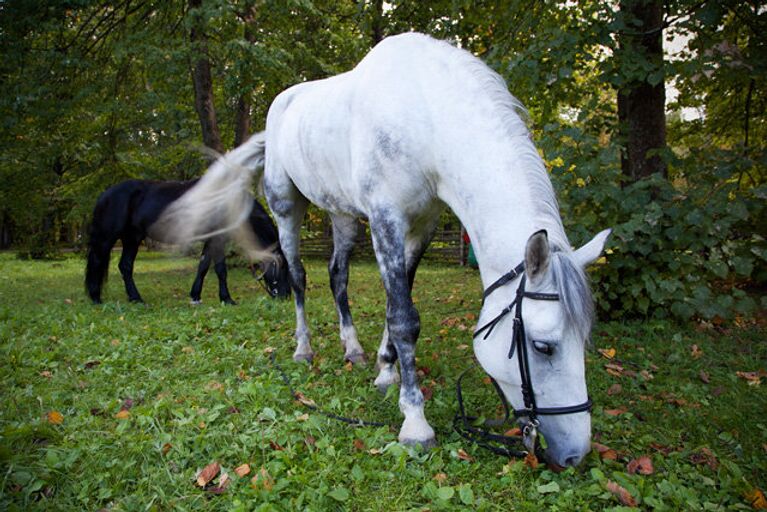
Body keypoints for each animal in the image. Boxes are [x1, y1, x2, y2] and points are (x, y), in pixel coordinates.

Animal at [83, 179, 288, 304]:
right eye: (281, 265)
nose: (285, 296)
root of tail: (105, 195)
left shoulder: (211, 240)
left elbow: (203, 265)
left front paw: (195, 295)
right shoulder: (218, 239)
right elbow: (220, 269)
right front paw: (227, 299)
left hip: (132, 238)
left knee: (125, 266)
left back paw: (136, 298)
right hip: (108, 237)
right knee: (97, 261)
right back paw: (96, 297)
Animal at [164, 33, 612, 468]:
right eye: (543, 346)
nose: (574, 454)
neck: (424, 112)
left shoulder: (421, 225)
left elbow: (397, 298)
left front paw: (385, 369)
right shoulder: (386, 218)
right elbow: (403, 318)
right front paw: (415, 422)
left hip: (342, 213)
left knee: (337, 275)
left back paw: (353, 348)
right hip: (287, 206)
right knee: (298, 277)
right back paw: (304, 349)